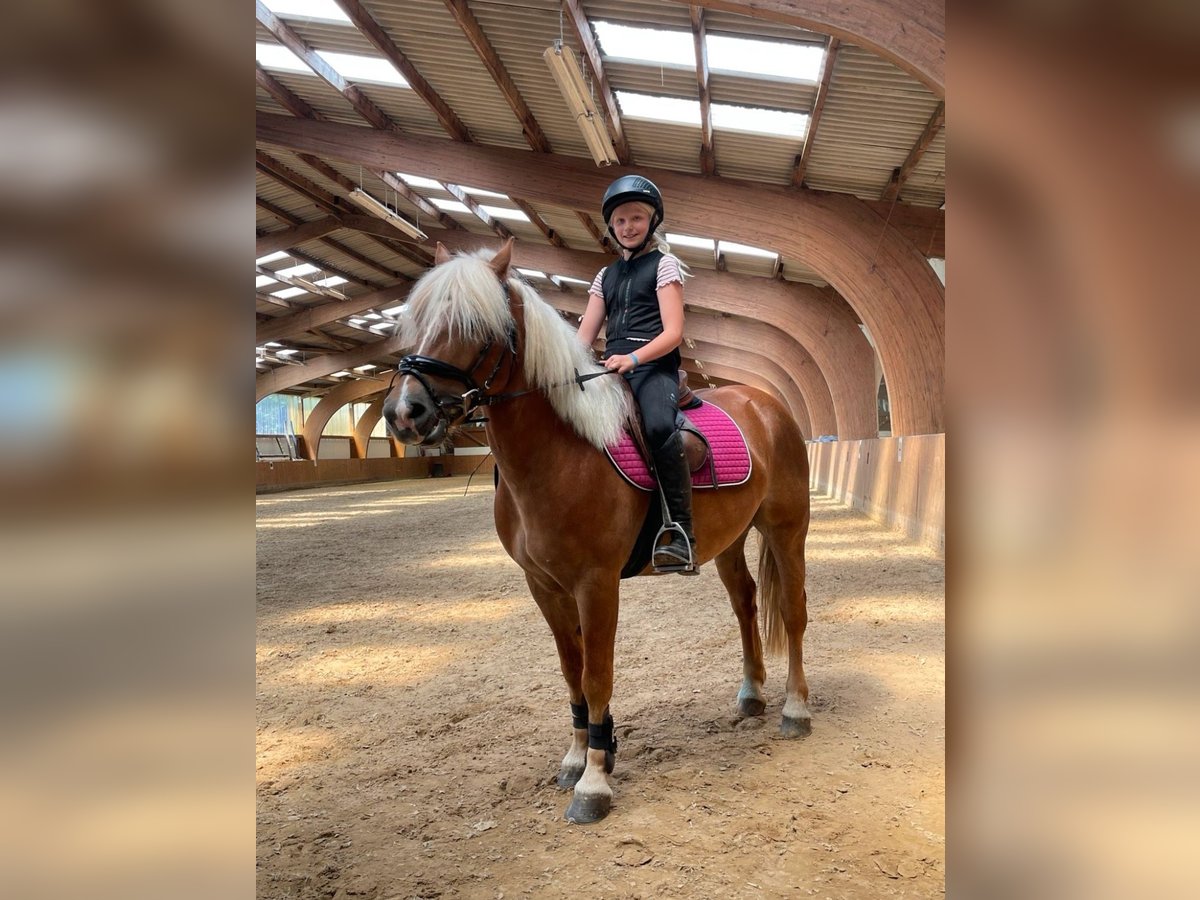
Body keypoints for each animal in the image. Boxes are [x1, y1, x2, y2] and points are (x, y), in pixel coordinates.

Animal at [386, 240, 816, 825]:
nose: (404, 412)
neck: (561, 454)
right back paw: (751, 695)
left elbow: (596, 674)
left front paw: (593, 782)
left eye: (476, 326)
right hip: (730, 540)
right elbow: (572, 671)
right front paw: (580, 757)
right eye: (419, 320)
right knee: (746, 603)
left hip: (786, 530)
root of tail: (767, 404)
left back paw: (796, 709)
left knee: (792, 612)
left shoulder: (596, 583)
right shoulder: (544, 586)